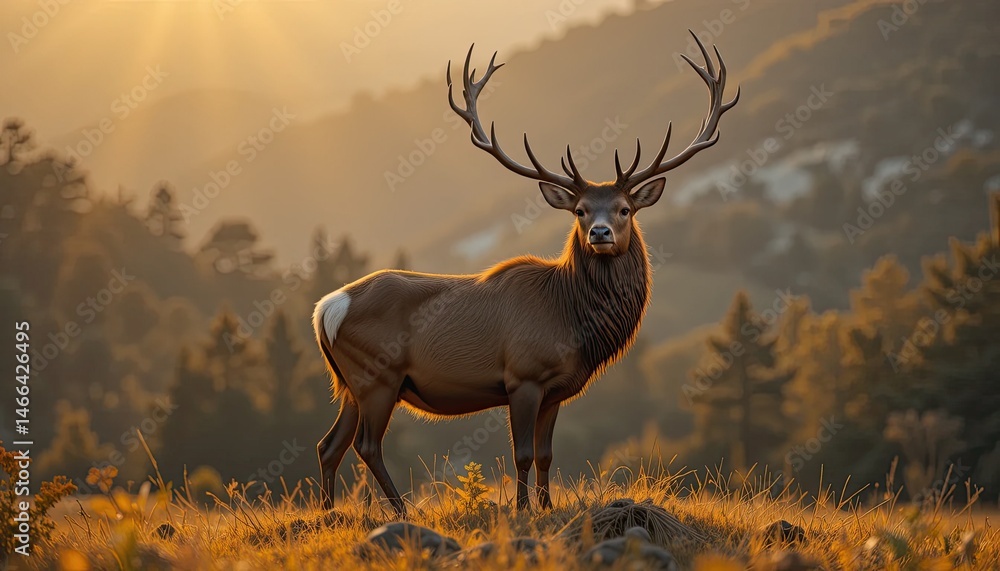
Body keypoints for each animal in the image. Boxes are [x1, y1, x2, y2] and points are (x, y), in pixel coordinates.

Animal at [312, 32, 739, 516]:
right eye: (580, 210)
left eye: (625, 208)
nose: (600, 233)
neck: (572, 321)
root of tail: (327, 308)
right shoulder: (524, 376)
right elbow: (522, 453)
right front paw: (521, 510)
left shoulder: (556, 389)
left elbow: (547, 454)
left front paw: (548, 507)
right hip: (377, 375)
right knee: (366, 445)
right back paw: (402, 511)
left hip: (348, 383)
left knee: (329, 445)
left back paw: (327, 513)